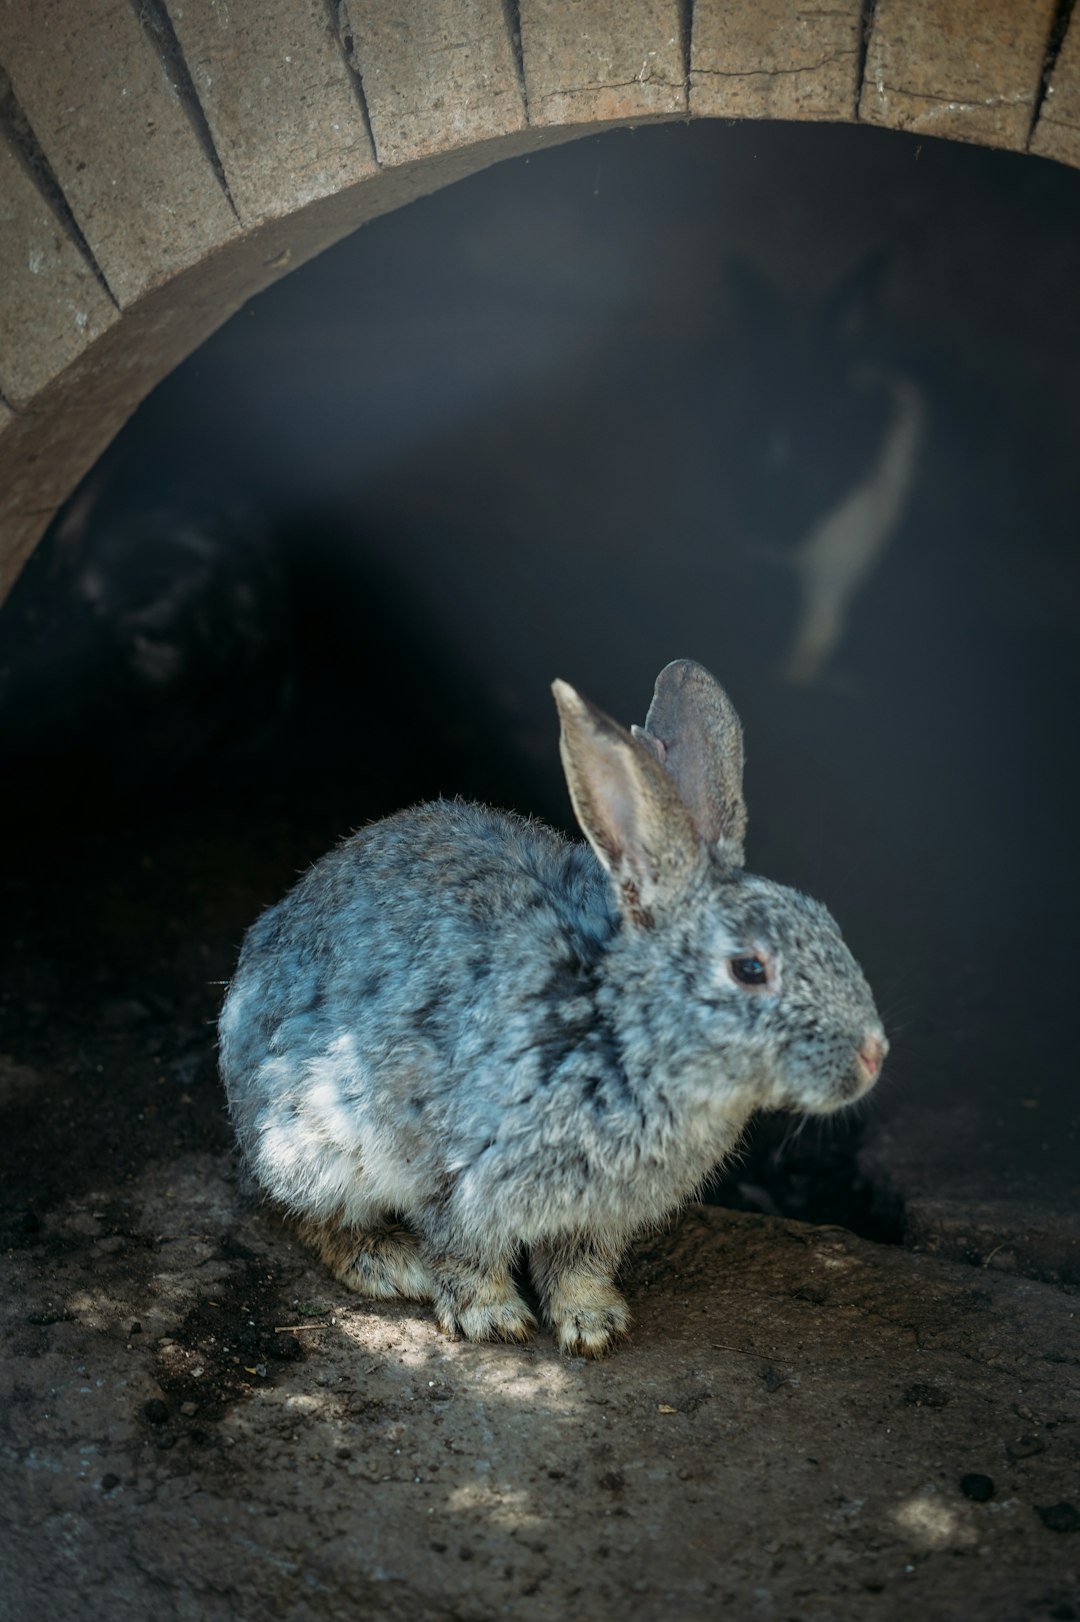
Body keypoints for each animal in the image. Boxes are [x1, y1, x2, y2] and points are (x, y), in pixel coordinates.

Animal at [217, 658, 882, 1355]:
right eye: (749, 969)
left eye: (826, 924)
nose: (874, 1055)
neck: (621, 1028)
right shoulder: (453, 1171)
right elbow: (464, 1251)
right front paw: (494, 1319)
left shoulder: (595, 1214)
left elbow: (577, 1262)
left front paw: (594, 1323)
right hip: (309, 1141)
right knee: (304, 1214)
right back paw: (394, 1264)